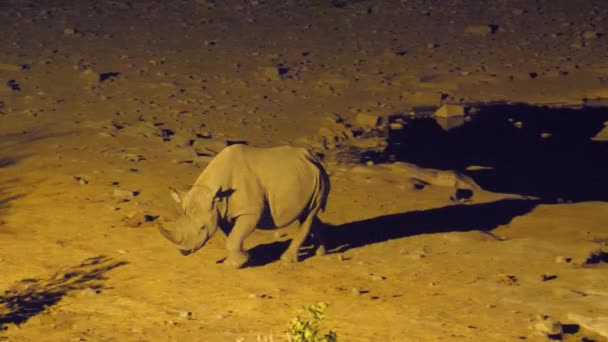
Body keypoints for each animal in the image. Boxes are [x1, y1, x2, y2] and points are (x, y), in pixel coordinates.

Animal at [156, 143, 328, 268]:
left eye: (202, 228)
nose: (183, 251)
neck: (211, 192)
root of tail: (314, 158)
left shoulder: (250, 212)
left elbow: (234, 237)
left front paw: (238, 263)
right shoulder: (222, 211)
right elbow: (232, 235)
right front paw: (242, 258)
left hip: (319, 177)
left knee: (309, 214)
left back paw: (287, 260)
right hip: (306, 178)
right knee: (307, 214)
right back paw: (320, 252)